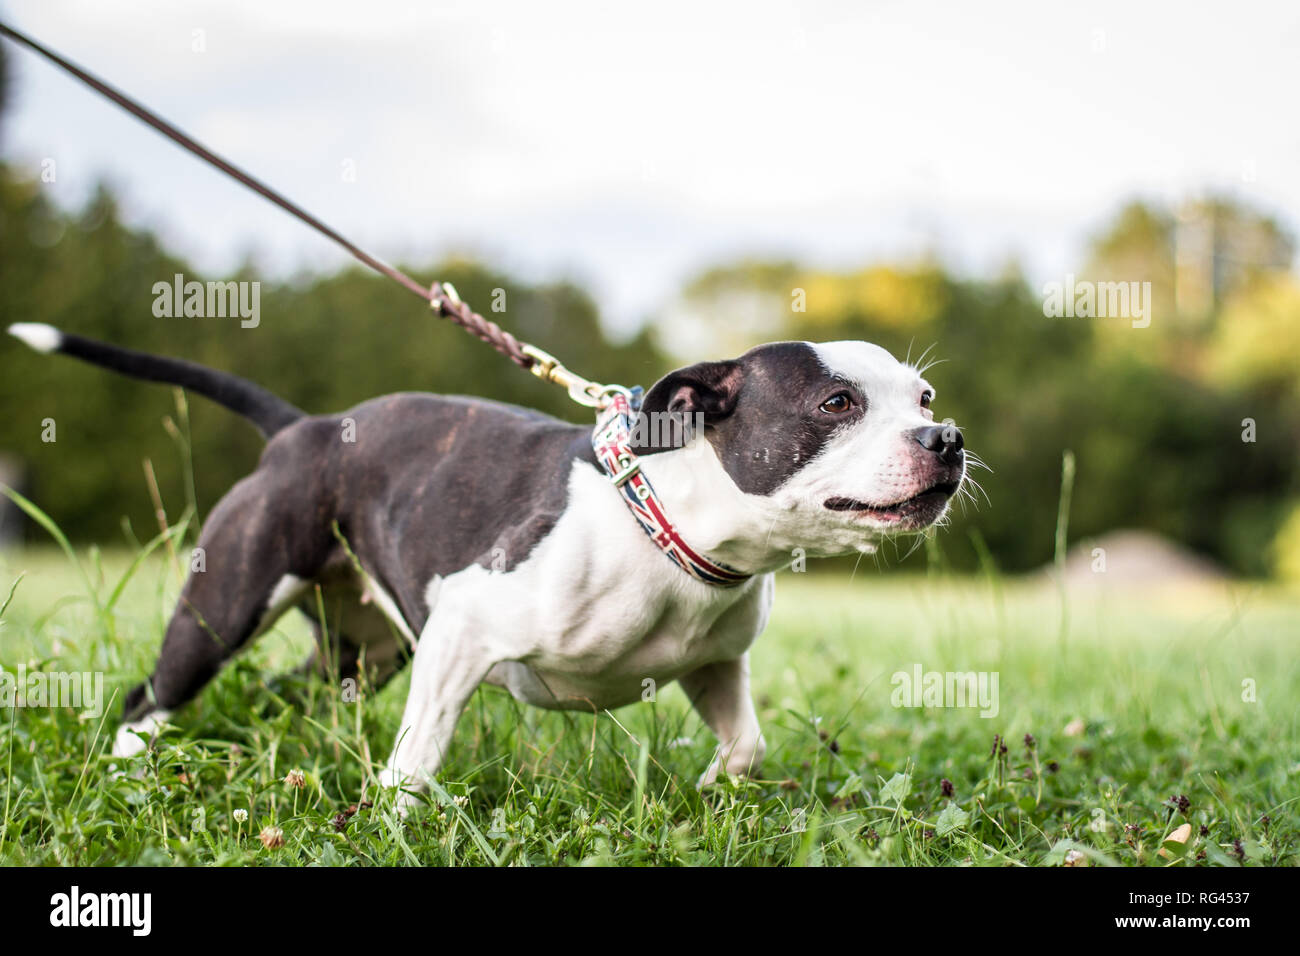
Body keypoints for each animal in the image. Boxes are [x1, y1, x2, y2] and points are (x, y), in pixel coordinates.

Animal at [7, 325, 967, 806]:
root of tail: (301, 429)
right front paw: (393, 821)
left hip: (363, 650)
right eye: (835, 404)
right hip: (231, 599)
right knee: (151, 695)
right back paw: (129, 770)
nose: (946, 437)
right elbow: (419, 755)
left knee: (285, 690)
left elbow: (746, 746)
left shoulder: (715, 665)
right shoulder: (462, 631)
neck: (662, 526)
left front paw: (708, 791)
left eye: (924, 398)